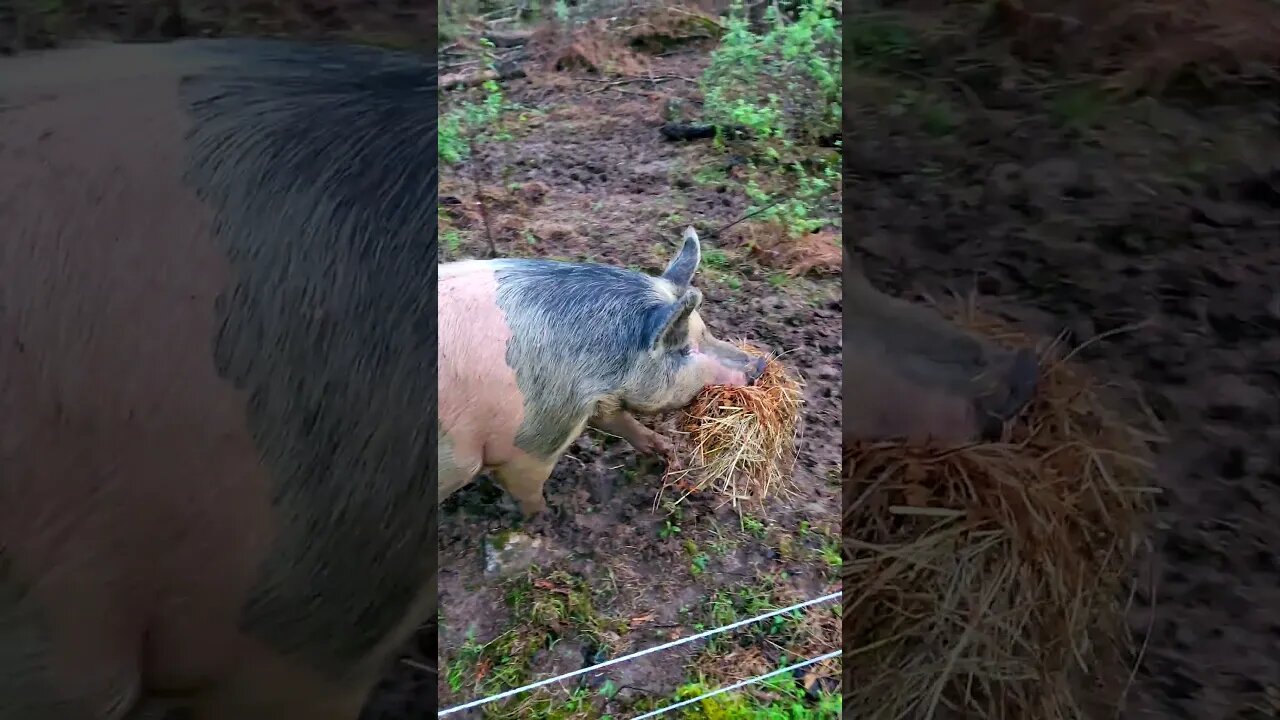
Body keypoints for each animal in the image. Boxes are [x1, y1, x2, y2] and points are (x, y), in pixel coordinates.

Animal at [435, 226, 762, 512]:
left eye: (705, 331)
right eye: (684, 349)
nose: (760, 364)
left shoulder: (597, 403)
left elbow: (619, 420)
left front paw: (665, 449)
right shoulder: (533, 439)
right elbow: (528, 489)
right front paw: (546, 516)